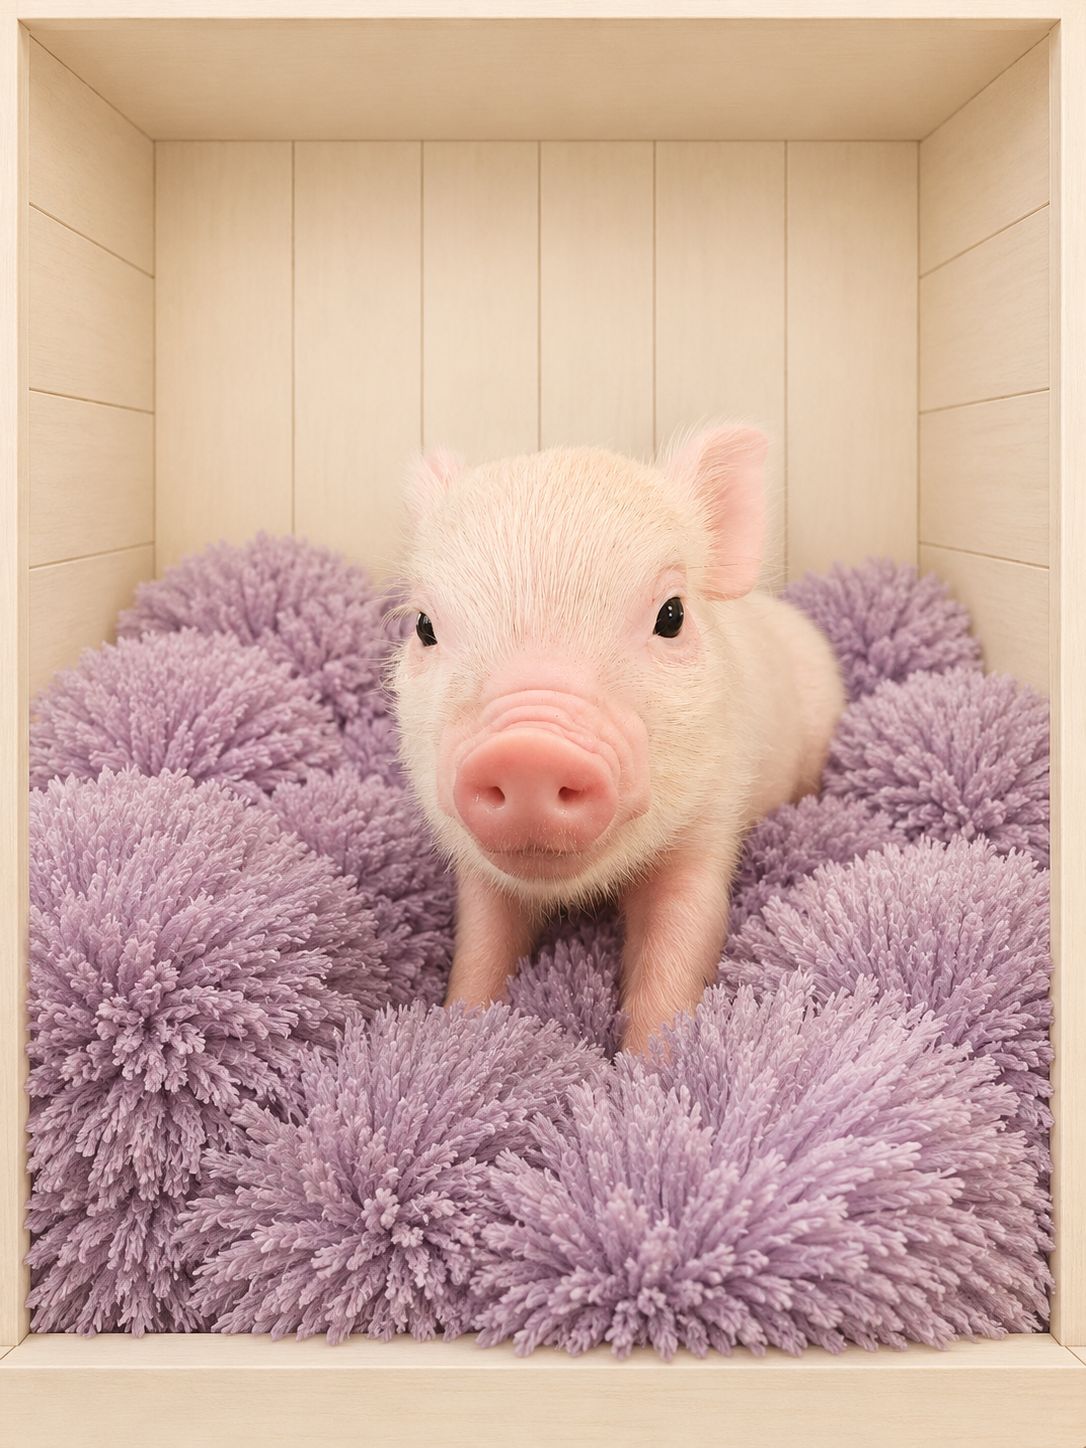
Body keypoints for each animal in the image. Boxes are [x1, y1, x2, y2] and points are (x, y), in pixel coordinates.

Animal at [392, 425, 844, 1053]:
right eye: (424, 627)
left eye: (672, 615)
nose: (528, 751)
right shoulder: (481, 873)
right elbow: (482, 943)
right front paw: (463, 1030)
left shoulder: (709, 826)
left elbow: (678, 944)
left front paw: (650, 1067)